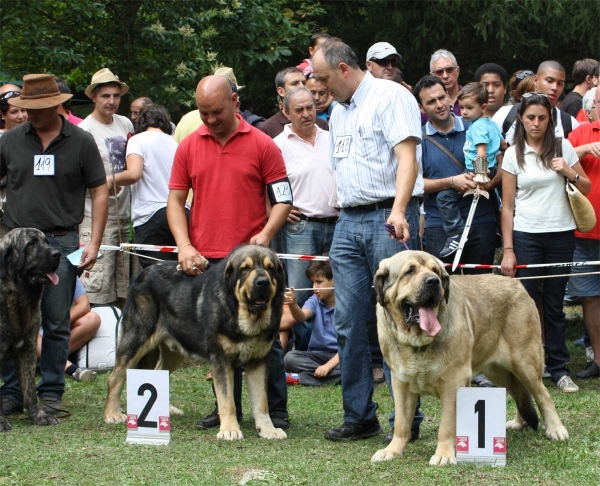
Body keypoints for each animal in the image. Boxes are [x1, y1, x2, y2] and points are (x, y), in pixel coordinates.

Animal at [104, 245, 288, 438]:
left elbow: (261, 401)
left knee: (157, 373)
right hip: (137, 338)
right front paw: (230, 430)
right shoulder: (221, 359)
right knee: (115, 377)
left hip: (173, 353)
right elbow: (227, 399)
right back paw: (113, 414)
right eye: (245, 269)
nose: (262, 282)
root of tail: (141, 274)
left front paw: (268, 429)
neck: (242, 314)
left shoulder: (258, 360)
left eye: (270, 268)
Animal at [370, 251, 568, 468]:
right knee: (519, 393)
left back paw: (556, 429)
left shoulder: (454, 382)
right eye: (410, 271)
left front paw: (444, 454)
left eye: (436, 271)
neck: (417, 342)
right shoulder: (401, 383)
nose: (433, 281)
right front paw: (392, 450)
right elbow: (401, 422)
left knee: (542, 395)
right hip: (499, 372)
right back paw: (518, 422)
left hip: (525, 362)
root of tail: (517, 284)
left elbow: (446, 425)